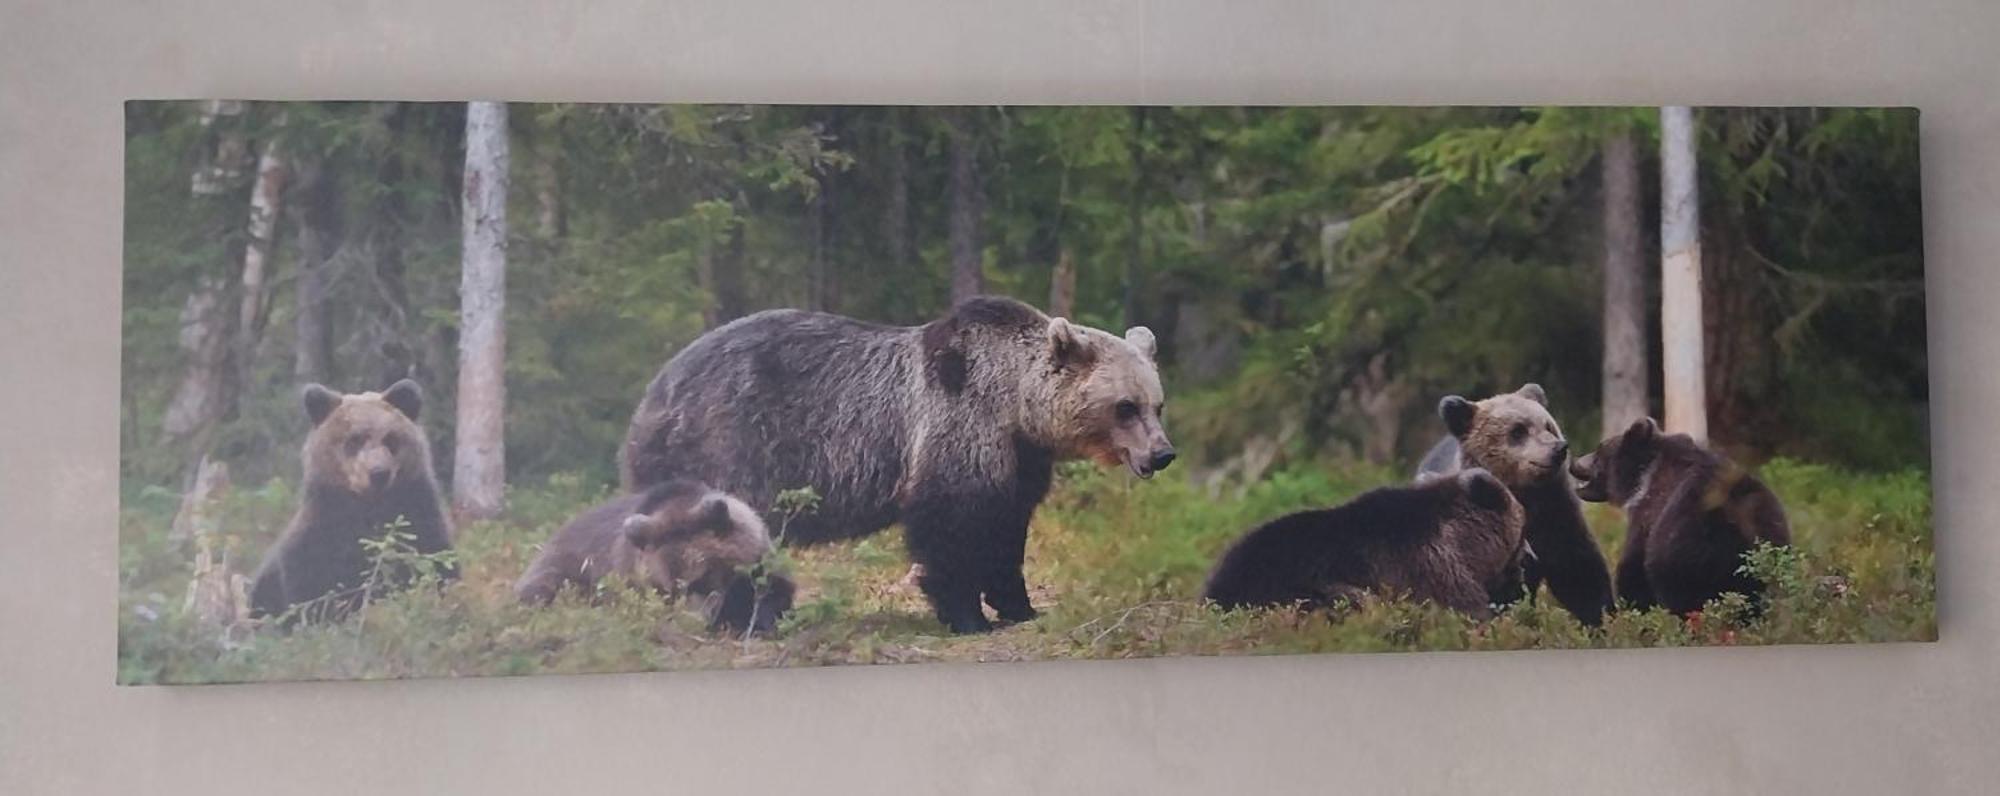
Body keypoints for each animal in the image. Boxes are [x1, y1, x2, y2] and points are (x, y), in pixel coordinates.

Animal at [248, 380, 456, 620]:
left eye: (391, 438)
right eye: (355, 439)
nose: (379, 472)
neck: (369, 510)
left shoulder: (420, 523)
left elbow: (437, 567)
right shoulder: (317, 541)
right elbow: (313, 594)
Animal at [516, 478, 796, 636]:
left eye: (702, 577)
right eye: (668, 590)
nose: (694, 621)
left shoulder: (758, 561)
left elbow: (773, 594)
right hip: (560, 569)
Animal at [616, 298, 1168, 636]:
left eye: (1156, 403)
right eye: (1125, 406)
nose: (1162, 454)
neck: (1015, 404)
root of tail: (652, 397)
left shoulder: (1019, 459)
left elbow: (1006, 531)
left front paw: (1021, 606)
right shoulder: (956, 425)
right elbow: (948, 527)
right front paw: (967, 615)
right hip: (729, 445)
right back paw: (754, 613)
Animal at [1416, 382, 1616, 624]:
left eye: (1548, 426)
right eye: (1518, 430)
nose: (1558, 448)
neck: (1524, 496)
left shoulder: (1556, 514)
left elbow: (1579, 569)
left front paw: (1602, 617)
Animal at [1576, 416, 1800, 616]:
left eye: (1599, 449)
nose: (1575, 463)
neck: (1643, 479)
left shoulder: (1648, 516)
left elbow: (1633, 570)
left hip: (1687, 553)